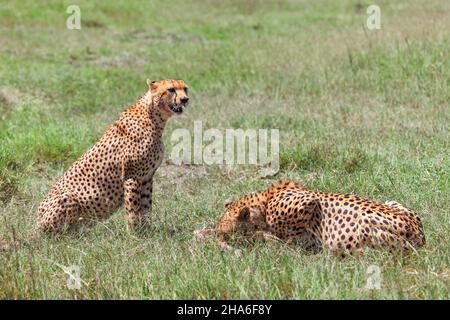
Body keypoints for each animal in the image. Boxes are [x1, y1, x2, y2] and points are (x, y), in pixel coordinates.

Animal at [36, 79, 188, 231]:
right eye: (171, 89)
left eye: (185, 89)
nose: (185, 99)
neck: (154, 117)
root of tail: (36, 224)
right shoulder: (132, 177)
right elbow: (133, 208)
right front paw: (134, 232)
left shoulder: (147, 177)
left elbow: (146, 207)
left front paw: (147, 230)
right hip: (67, 198)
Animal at [214, 182, 426, 255]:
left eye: (225, 233)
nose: (219, 243)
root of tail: (420, 236)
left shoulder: (308, 201)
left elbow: (285, 237)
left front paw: (276, 242)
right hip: (393, 203)